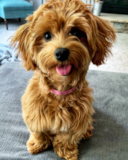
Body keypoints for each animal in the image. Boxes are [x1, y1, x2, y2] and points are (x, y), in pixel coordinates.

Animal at [10, 0, 115, 159]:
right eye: (47, 35)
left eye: (76, 32)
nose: (61, 52)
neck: (60, 91)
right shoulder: (34, 113)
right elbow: (38, 131)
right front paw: (37, 144)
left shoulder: (76, 121)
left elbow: (67, 137)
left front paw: (66, 151)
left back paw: (87, 131)